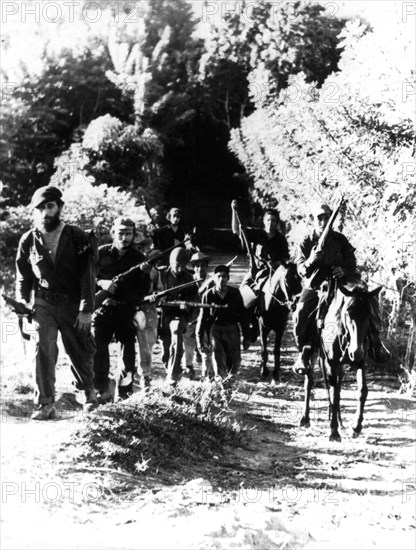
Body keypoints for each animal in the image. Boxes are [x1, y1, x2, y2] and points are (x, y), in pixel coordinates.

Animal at [300, 282, 380, 442]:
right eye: (348, 312)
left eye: (369, 313)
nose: (356, 352)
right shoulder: (331, 362)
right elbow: (333, 394)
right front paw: (333, 431)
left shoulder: (359, 363)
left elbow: (362, 390)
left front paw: (355, 427)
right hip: (315, 356)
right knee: (309, 382)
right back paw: (306, 419)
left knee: (337, 386)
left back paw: (341, 424)